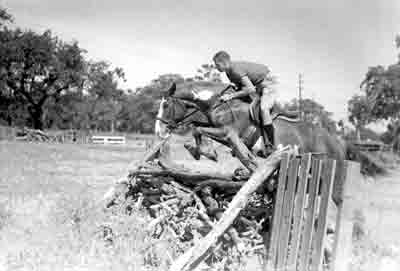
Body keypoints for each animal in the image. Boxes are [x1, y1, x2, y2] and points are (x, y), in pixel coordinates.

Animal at [155, 82, 348, 205]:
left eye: (166, 105)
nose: (158, 131)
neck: (218, 104)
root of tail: (337, 143)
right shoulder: (221, 132)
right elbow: (196, 127)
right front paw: (199, 151)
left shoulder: (228, 133)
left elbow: (198, 129)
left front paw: (206, 152)